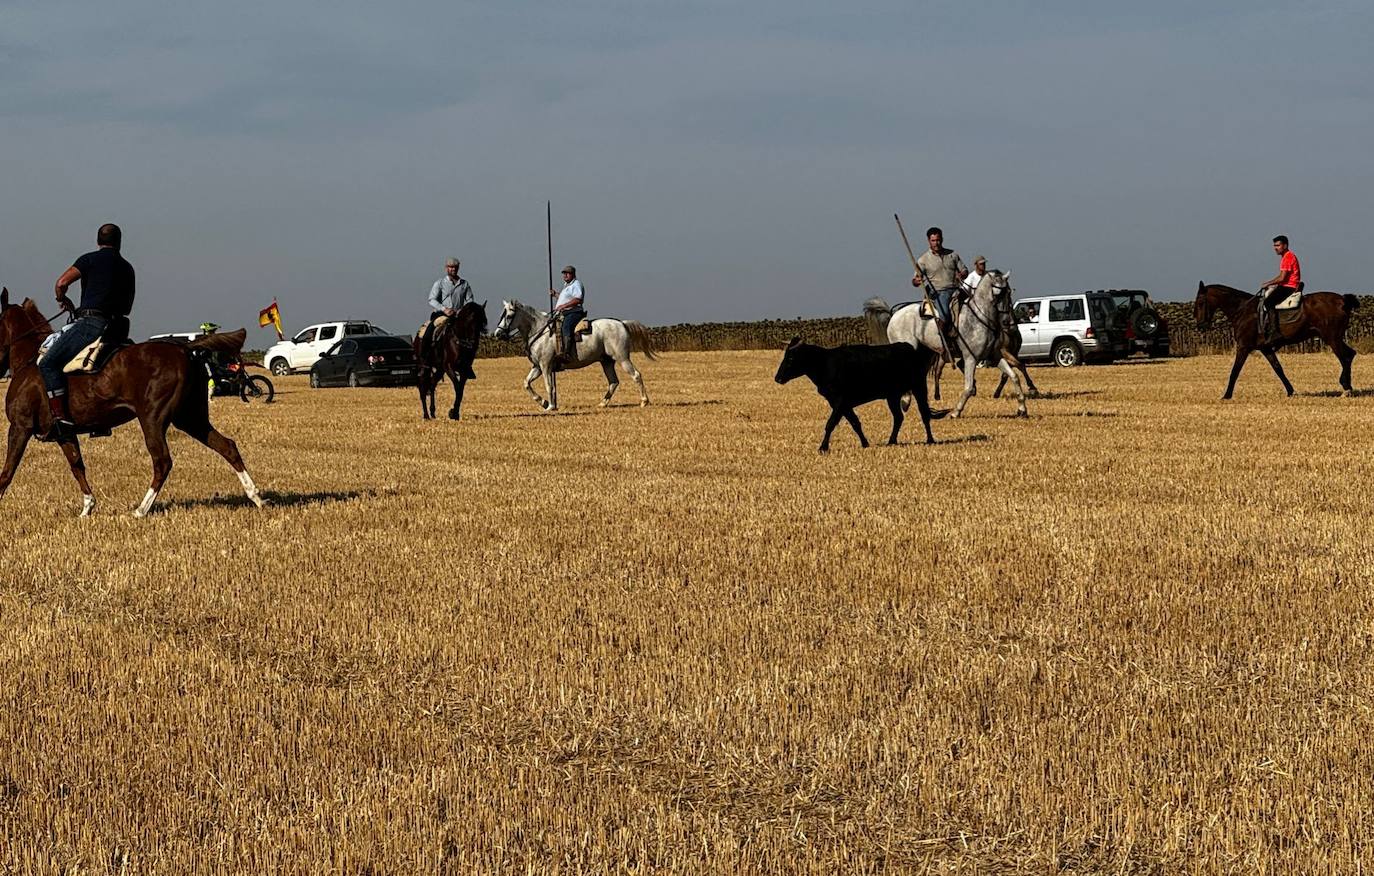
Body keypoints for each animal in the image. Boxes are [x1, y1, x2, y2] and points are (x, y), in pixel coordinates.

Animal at [0, 291, 266, 519]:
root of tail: (184, 348)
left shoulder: (20, 427)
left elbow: (8, 471)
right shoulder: (64, 433)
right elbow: (77, 466)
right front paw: (87, 507)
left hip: (153, 419)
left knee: (162, 461)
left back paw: (141, 510)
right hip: (191, 418)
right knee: (227, 446)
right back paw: (256, 497)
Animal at [494, 300, 659, 414]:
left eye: (509, 316)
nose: (498, 334)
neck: (540, 331)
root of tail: (622, 324)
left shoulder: (545, 365)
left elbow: (549, 385)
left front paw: (551, 406)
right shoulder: (537, 367)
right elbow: (527, 383)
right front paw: (543, 402)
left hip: (622, 358)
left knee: (636, 375)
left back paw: (644, 401)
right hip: (606, 362)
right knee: (613, 382)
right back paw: (602, 403)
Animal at [774, 337, 945, 453]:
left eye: (791, 357)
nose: (777, 378)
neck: (825, 364)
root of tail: (909, 347)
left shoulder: (839, 401)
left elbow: (830, 423)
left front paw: (823, 447)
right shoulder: (842, 403)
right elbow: (855, 423)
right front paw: (865, 443)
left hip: (919, 387)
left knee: (924, 413)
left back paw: (930, 440)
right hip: (892, 396)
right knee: (898, 417)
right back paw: (891, 441)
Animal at [862, 271, 1027, 417]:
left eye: (1009, 293)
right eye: (998, 294)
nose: (1007, 322)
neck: (979, 318)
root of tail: (894, 314)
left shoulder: (995, 356)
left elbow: (1014, 377)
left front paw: (1022, 409)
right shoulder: (971, 358)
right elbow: (968, 387)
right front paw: (955, 412)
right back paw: (906, 401)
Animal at [1198, 282, 1357, 400]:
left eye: (1199, 302)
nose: (1200, 325)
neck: (1243, 310)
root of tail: (1342, 300)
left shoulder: (1243, 346)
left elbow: (1235, 371)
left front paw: (1226, 395)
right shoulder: (1266, 348)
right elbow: (1278, 369)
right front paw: (1290, 391)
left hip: (1332, 338)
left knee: (1345, 357)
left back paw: (1346, 388)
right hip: (1335, 337)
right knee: (1351, 354)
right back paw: (1347, 387)